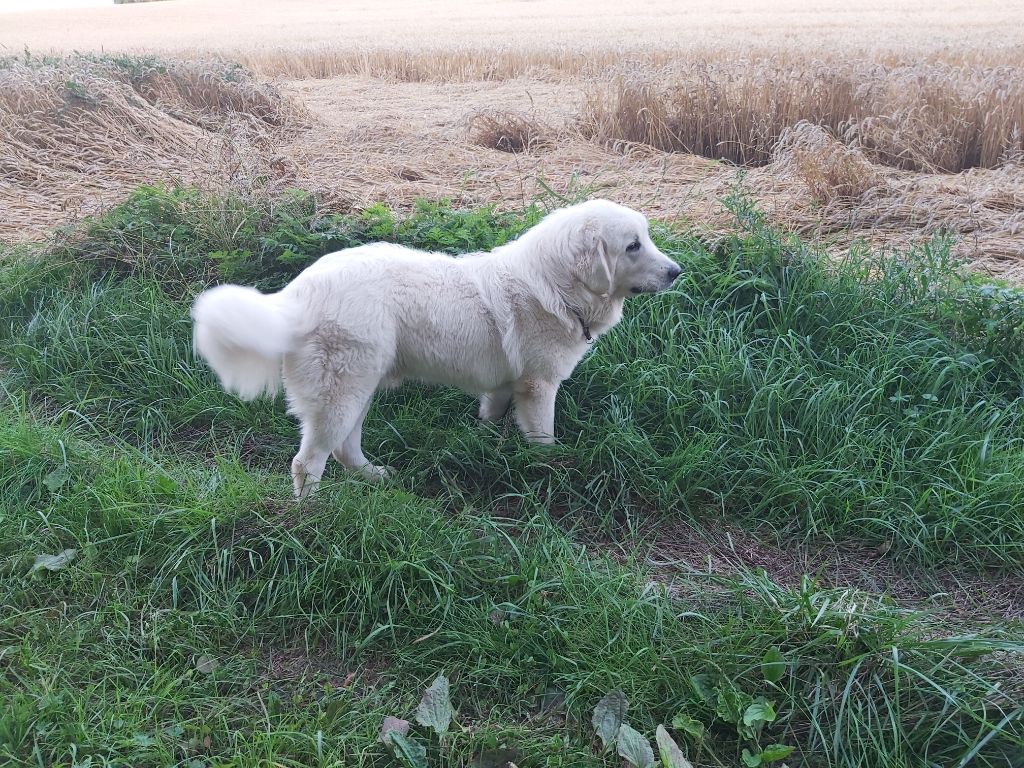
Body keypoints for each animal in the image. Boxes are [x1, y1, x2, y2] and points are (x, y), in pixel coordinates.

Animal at [191, 199, 681, 497]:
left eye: (647, 239)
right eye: (633, 246)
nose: (677, 272)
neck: (558, 285)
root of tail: (298, 292)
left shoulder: (503, 387)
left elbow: (491, 420)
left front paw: (487, 448)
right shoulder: (540, 388)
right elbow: (544, 438)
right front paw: (551, 468)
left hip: (359, 389)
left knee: (345, 450)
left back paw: (375, 477)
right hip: (341, 395)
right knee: (307, 461)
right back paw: (310, 515)